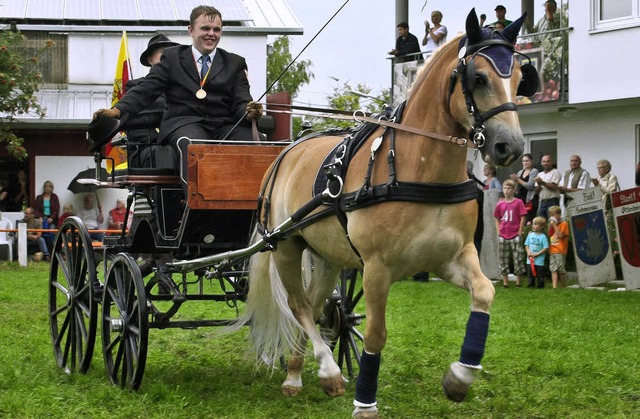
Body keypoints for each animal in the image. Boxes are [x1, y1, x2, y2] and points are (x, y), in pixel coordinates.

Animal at [239, 9, 528, 419]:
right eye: (479, 78)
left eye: (519, 77)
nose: (511, 146)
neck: (417, 170)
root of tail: (287, 150)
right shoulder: (376, 268)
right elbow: (376, 334)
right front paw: (365, 402)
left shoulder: (451, 257)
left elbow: (485, 293)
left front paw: (460, 376)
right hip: (286, 246)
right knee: (299, 306)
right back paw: (327, 370)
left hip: (327, 256)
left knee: (313, 305)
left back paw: (297, 374)